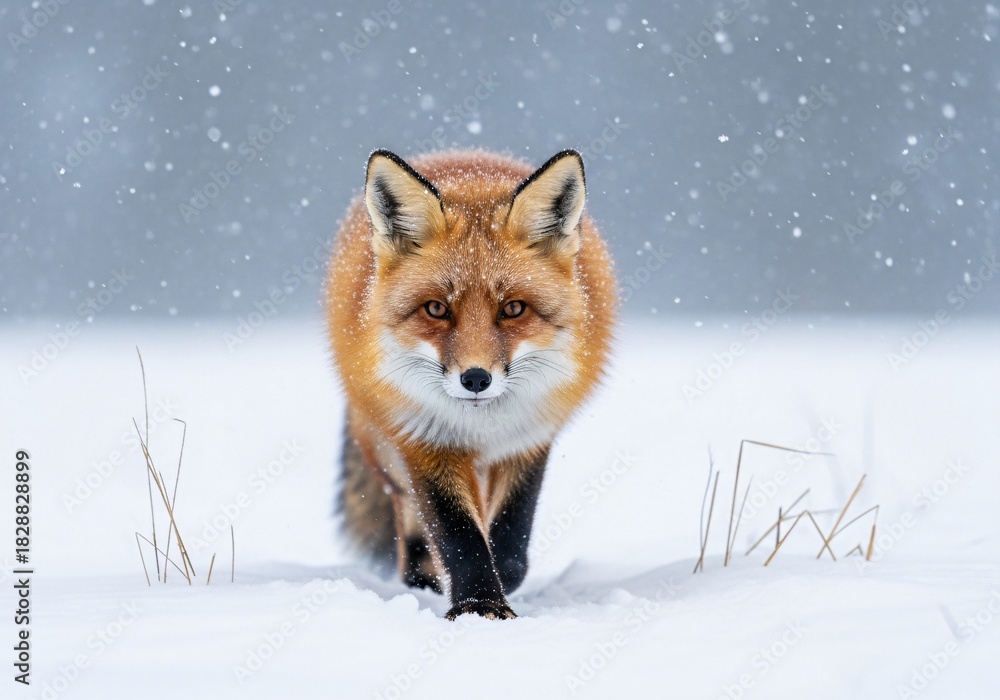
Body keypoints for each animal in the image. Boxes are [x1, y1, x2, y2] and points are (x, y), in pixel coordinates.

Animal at [325, 148, 617, 619]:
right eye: (436, 309)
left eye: (513, 308)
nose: (476, 378)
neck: (481, 426)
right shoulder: (425, 438)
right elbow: (459, 534)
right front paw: (480, 604)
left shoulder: (529, 437)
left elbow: (512, 537)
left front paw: (498, 583)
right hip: (388, 451)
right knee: (412, 526)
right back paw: (424, 582)